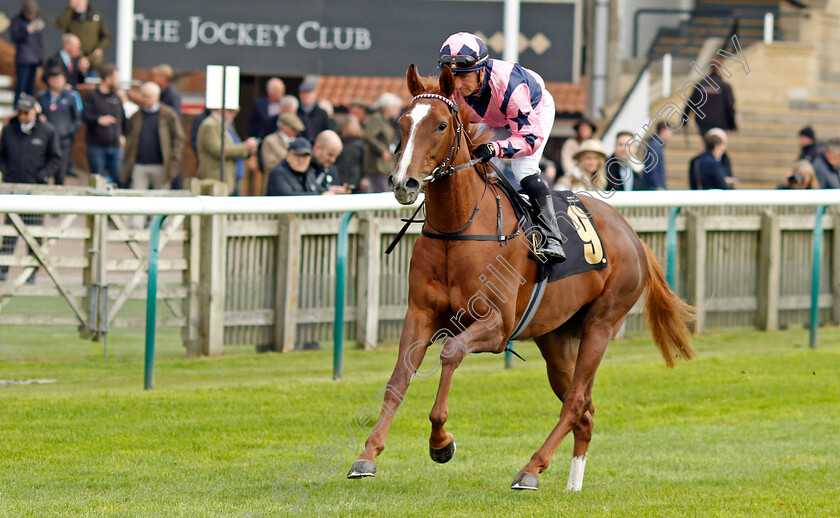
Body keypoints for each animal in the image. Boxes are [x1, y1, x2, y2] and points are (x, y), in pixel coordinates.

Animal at [346, 67, 696, 494]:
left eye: (441, 124)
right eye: (402, 123)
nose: (404, 183)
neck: (458, 229)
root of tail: (633, 236)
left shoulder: (497, 325)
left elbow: (450, 353)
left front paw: (441, 442)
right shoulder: (419, 314)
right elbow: (399, 376)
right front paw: (367, 454)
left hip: (602, 323)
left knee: (575, 401)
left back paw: (530, 468)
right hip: (556, 337)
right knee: (584, 407)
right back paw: (572, 482)